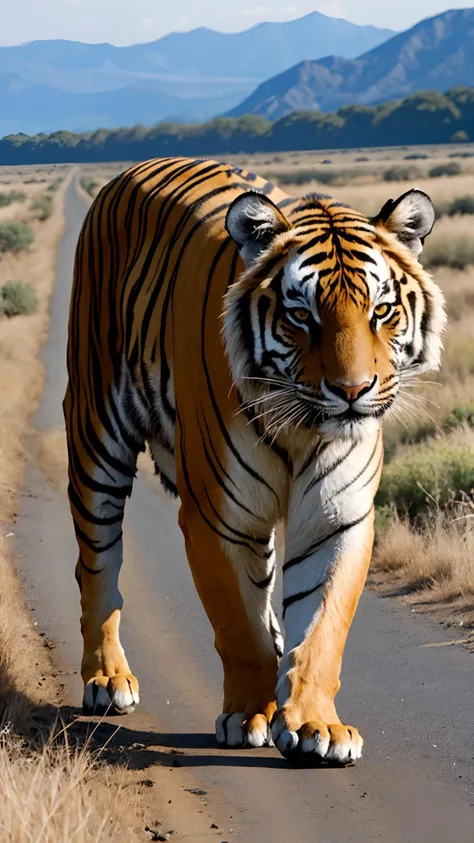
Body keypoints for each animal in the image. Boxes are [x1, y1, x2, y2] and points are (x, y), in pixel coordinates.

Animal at [63, 157, 444, 764]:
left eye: (381, 311)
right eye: (301, 316)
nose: (353, 391)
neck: (305, 426)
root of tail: (126, 173)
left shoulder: (338, 516)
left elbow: (322, 623)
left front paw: (315, 725)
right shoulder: (220, 517)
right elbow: (238, 626)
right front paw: (250, 715)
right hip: (95, 430)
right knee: (97, 563)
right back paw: (106, 680)